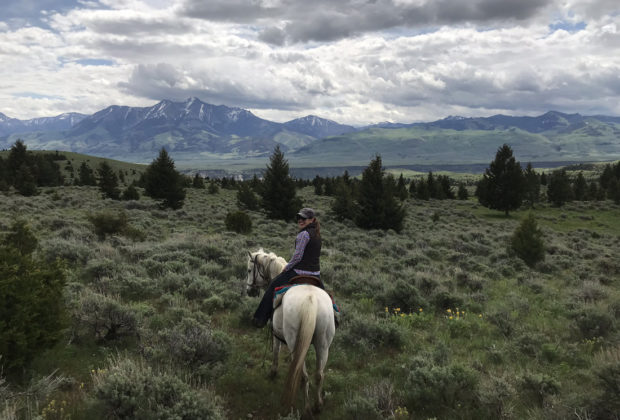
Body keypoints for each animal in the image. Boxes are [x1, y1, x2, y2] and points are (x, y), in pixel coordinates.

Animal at [246, 248, 334, 416]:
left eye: (248, 270)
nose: (249, 291)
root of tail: (311, 299)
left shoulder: (275, 332)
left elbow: (276, 350)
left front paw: (273, 372)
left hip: (294, 342)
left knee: (304, 376)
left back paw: (307, 409)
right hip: (323, 344)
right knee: (319, 375)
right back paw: (317, 406)